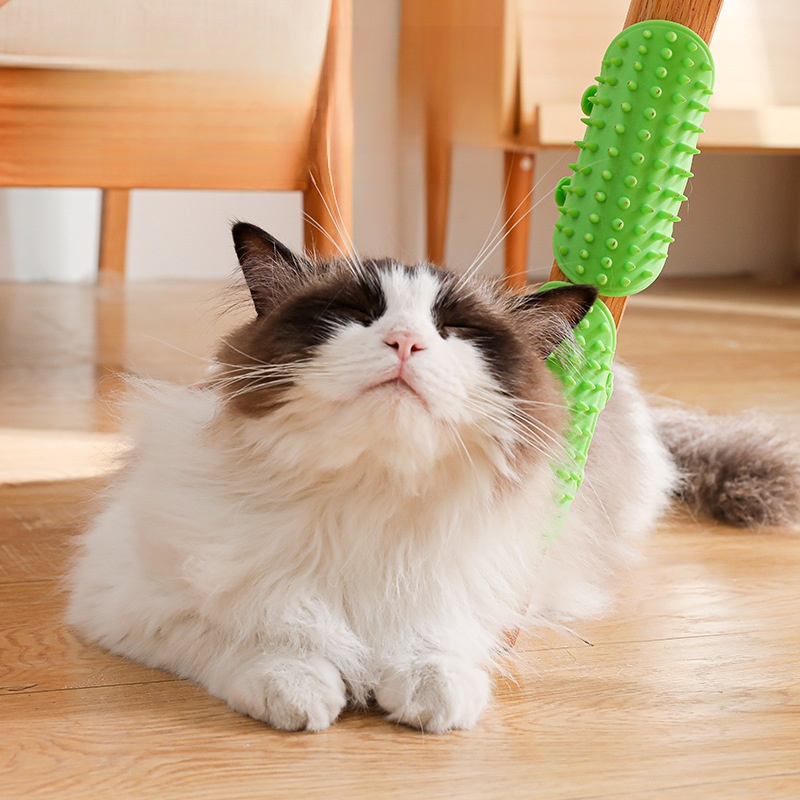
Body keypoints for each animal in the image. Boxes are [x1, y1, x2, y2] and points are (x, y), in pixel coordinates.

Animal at [67, 222, 800, 733]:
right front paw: (300, 687)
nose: (406, 343)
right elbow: (255, 633)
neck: (370, 492)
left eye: (454, 331)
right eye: (358, 316)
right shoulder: (128, 601)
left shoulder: (491, 587)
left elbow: (439, 640)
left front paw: (432, 691)